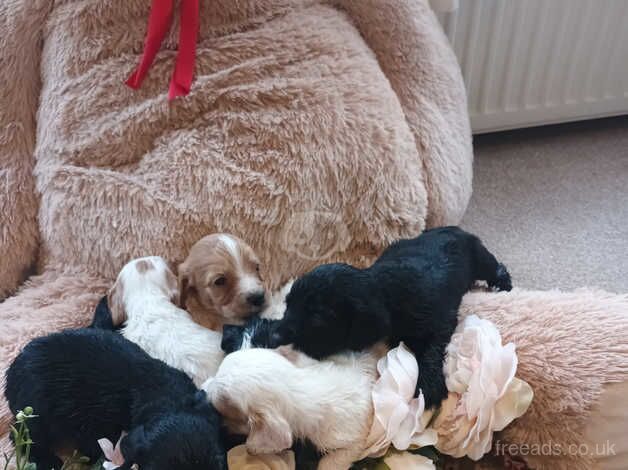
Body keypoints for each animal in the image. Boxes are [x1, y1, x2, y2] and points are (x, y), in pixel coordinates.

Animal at [4, 326, 227, 470]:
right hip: (35, 408)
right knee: (24, 436)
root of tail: (11, 371)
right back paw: (47, 461)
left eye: (220, 462)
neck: (166, 399)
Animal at [268, 227, 510, 408]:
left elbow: (432, 350)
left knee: (496, 268)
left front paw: (429, 385)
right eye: (288, 304)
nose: (276, 336)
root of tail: (454, 228)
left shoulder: (440, 322)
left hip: (479, 259)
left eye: (317, 319)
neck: (386, 291)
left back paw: (504, 285)